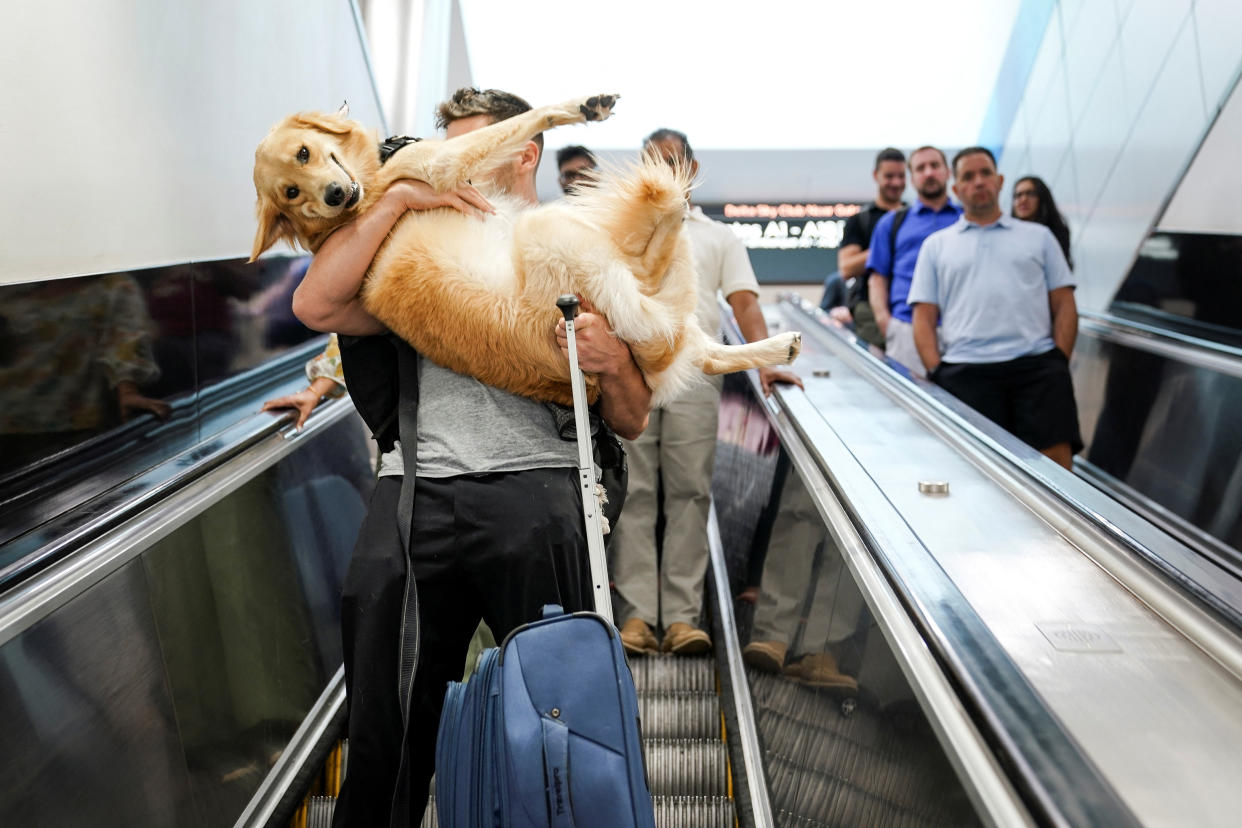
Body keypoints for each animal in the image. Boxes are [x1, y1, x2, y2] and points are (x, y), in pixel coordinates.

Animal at [249, 92, 804, 409]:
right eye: (290, 192)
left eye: (304, 154)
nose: (335, 196)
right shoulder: (442, 164)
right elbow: (528, 119)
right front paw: (581, 106)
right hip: (556, 234)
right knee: (656, 268)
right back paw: (667, 195)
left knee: (703, 352)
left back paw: (780, 347)